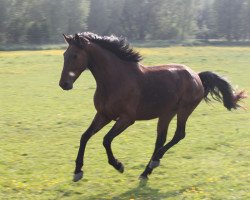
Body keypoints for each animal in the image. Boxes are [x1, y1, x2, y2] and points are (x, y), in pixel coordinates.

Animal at [59, 32, 246, 182]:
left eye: (74, 55)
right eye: (64, 55)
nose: (64, 84)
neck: (114, 81)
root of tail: (197, 76)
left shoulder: (126, 119)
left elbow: (106, 140)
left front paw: (118, 165)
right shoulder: (103, 115)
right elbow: (84, 137)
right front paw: (77, 171)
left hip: (184, 110)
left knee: (179, 135)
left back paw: (155, 161)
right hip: (166, 113)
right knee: (161, 139)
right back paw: (146, 171)